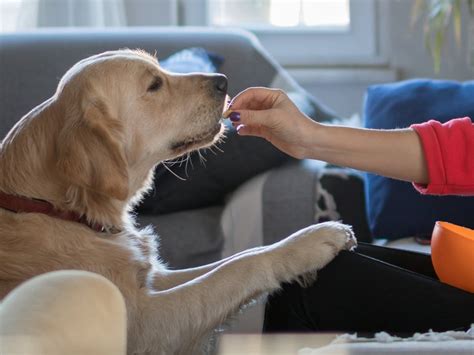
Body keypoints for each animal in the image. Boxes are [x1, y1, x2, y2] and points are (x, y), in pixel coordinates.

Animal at [0, 48, 356, 354]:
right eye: (154, 84)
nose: (223, 81)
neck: (59, 208)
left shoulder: (155, 278)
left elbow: (234, 258)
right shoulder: (144, 321)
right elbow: (235, 269)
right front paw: (312, 242)